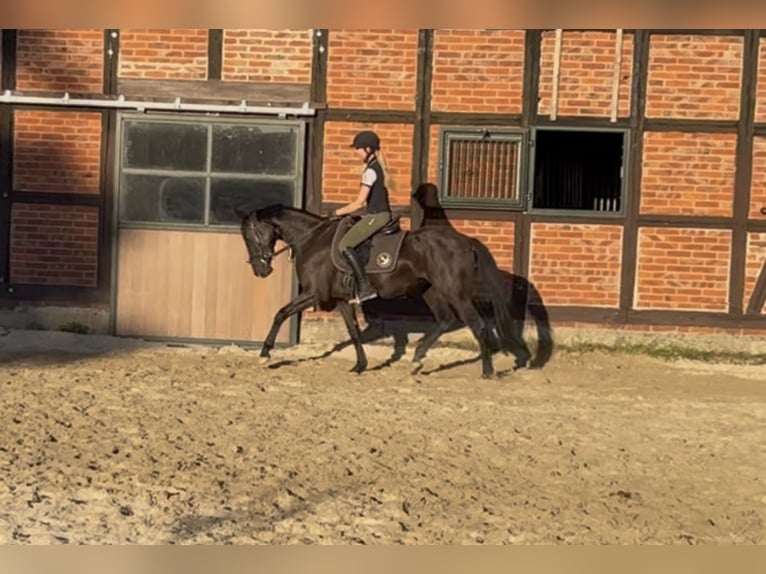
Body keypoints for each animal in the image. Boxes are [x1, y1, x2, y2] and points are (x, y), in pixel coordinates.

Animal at [237, 204, 531, 379]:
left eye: (250, 236)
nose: (260, 270)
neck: (313, 239)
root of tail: (465, 241)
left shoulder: (314, 293)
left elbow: (280, 313)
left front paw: (265, 354)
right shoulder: (340, 299)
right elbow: (354, 331)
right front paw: (360, 366)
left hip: (454, 292)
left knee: (476, 324)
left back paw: (487, 371)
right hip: (432, 291)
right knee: (446, 320)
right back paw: (417, 358)